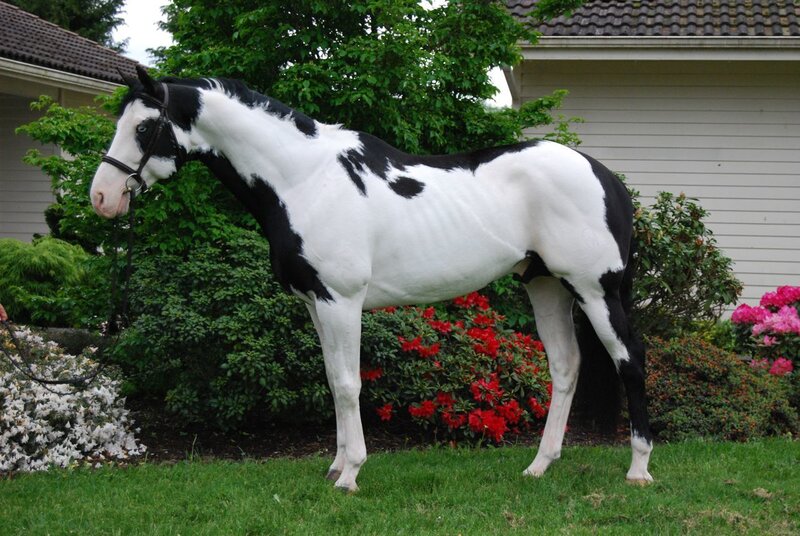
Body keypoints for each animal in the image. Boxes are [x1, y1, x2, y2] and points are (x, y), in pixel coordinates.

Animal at [90, 66, 653, 492]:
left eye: (144, 128)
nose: (102, 198)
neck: (305, 179)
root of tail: (607, 178)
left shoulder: (341, 301)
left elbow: (347, 382)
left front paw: (350, 475)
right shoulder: (316, 303)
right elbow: (332, 380)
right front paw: (336, 465)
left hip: (595, 289)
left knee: (629, 361)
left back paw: (639, 469)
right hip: (546, 285)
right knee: (565, 366)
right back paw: (539, 466)